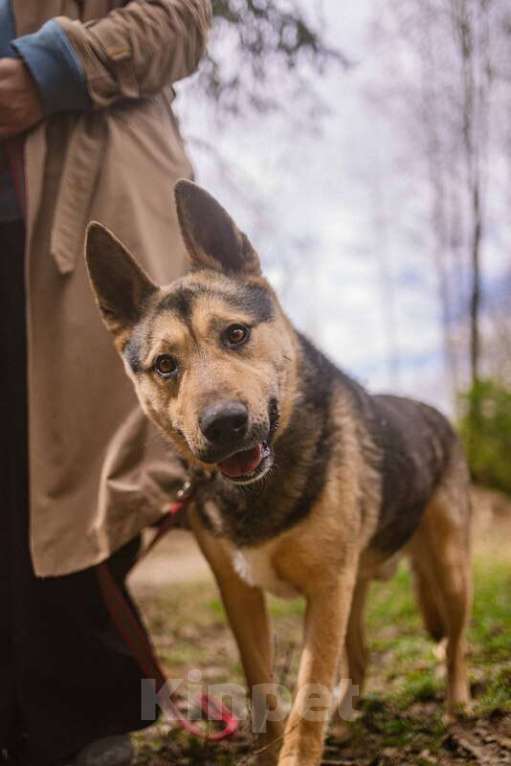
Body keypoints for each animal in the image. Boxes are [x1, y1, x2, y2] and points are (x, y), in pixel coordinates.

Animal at [86, 182, 474, 766]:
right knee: (360, 654)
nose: (224, 426)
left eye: (236, 334)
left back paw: (456, 703)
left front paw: (301, 747)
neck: (261, 487)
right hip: (356, 585)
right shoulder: (242, 595)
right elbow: (261, 691)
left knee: (453, 643)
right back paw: (348, 716)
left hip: (447, 571)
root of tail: (433, 412)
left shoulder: (326, 590)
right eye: (165, 366)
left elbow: (306, 698)